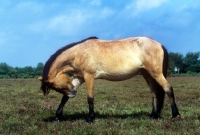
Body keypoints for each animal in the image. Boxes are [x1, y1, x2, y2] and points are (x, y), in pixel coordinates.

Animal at [37, 35, 180, 122]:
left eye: (57, 86)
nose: (73, 93)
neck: (79, 53)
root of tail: (159, 44)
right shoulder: (79, 78)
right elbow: (64, 98)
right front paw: (57, 117)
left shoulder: (89, 76)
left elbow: (90, 98)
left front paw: (90, 118)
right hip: (147, 74)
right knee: (155, 93)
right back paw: (153, 115)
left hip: (155, 73)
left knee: (168, 89)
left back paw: (175, 115)